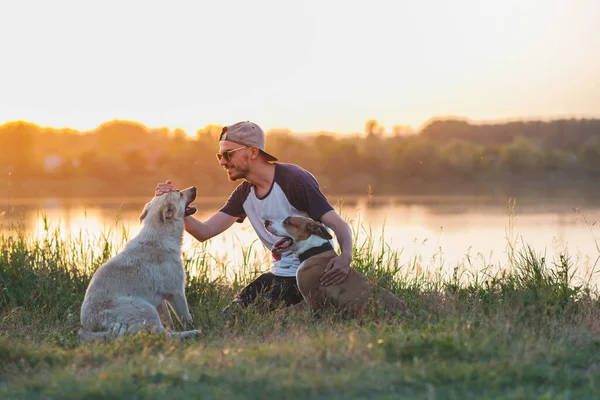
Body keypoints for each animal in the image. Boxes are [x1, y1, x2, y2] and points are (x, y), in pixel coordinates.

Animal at [78, 188, 202, 340]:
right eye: (180, 193)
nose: (194, 188)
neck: (160, 236)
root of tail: (92, 325)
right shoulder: (176, 292)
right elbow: (186, 318)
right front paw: (191, 327)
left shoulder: (160, 300)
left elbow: (168, 321)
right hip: (146, 308)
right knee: (163, 334)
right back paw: (193, 333)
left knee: (161, 332)